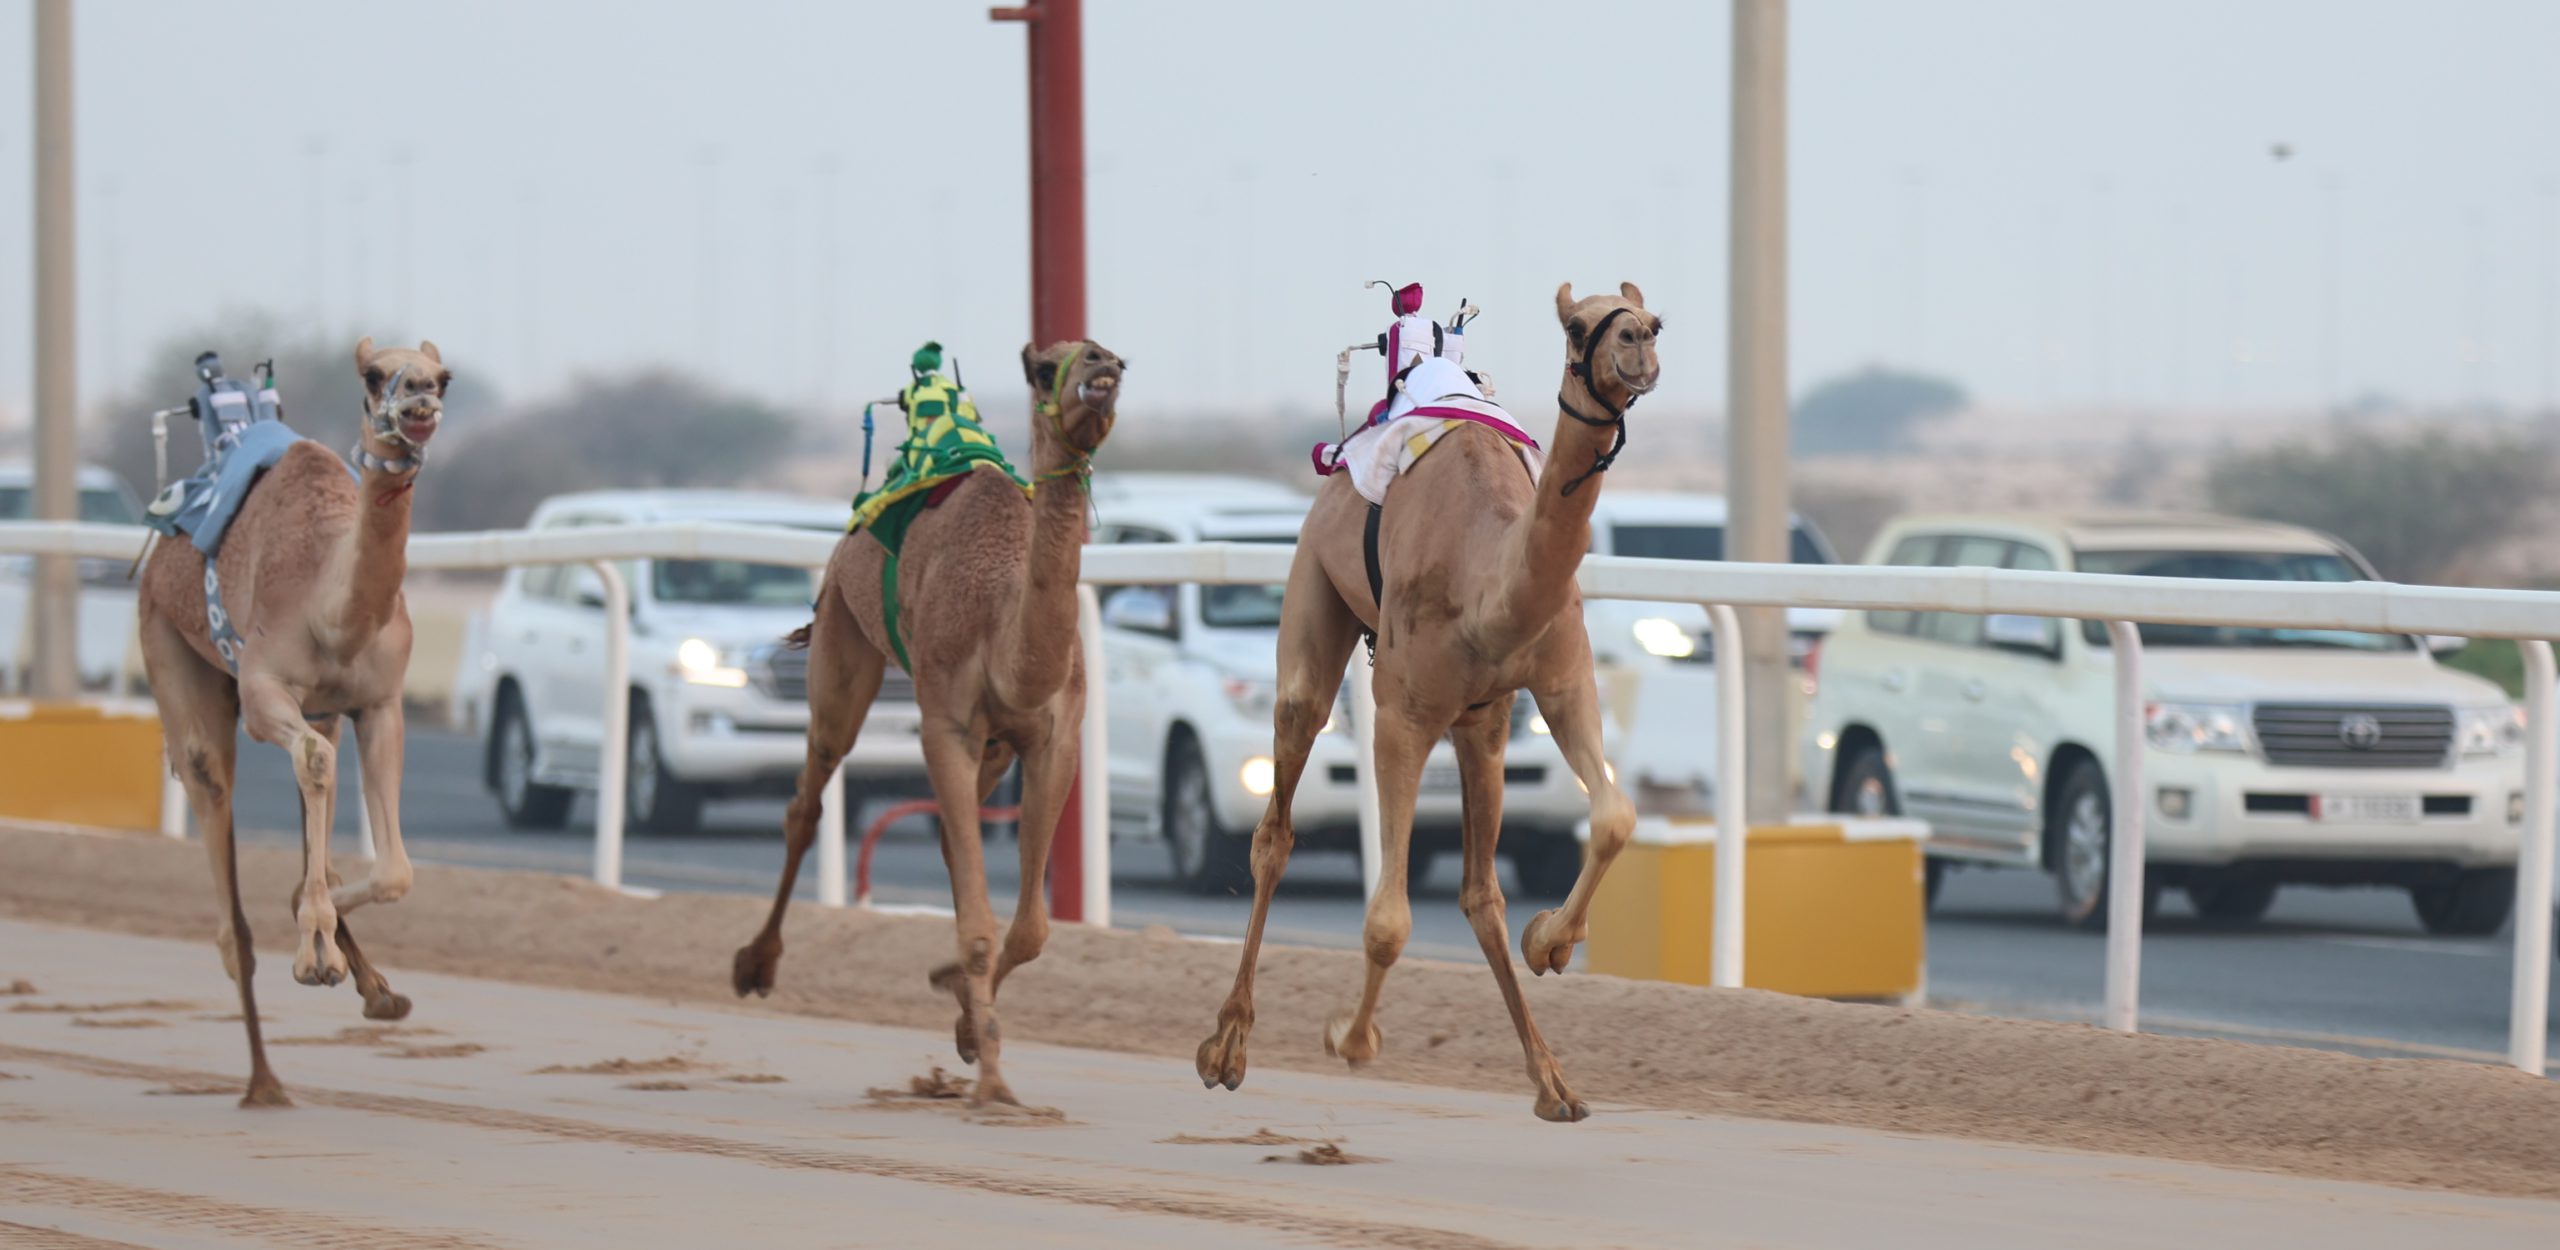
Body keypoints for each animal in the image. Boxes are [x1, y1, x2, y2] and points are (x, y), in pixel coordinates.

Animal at [137, 335, 448, 1101]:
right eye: (374, 376)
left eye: (444, 374)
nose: (421, 398)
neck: (331, 610)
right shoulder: (261, 694)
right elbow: (313, 765)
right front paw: (312, 952)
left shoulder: (377, 704)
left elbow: (394, 870)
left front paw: (329, 941)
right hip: (169, 647)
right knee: (228, 901)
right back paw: (264, 1084)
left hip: (322, 710)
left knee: (319, 787)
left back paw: (373, 986)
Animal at [727, 338, 1116, 1106]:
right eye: (1044, 368)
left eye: (1113, 360)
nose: (1101, 367)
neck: (1008, 637)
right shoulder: (946, 725)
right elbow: (985, 928)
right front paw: (991, 1080)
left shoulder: (1053, 740)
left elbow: (1030, 929)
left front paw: (965, 1018)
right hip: (841, 638)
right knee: (807, 801)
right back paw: (755, 966)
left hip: (993, 749)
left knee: (942, 840)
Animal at [1192, 283, 1658, 1121]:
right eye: (1578, 327)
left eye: (1657, 321)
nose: (1637, 344)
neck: (1488, 586)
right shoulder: (1401, 713)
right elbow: (1386, 919)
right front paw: (1349, 1038)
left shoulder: (1558, 681)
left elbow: (1614, 817)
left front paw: (1551, 942)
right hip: (1312, 592)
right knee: (1276, 823)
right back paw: (1225, 1049)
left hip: (1483, 726)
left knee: (1480, 892)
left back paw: (1553, 1082)